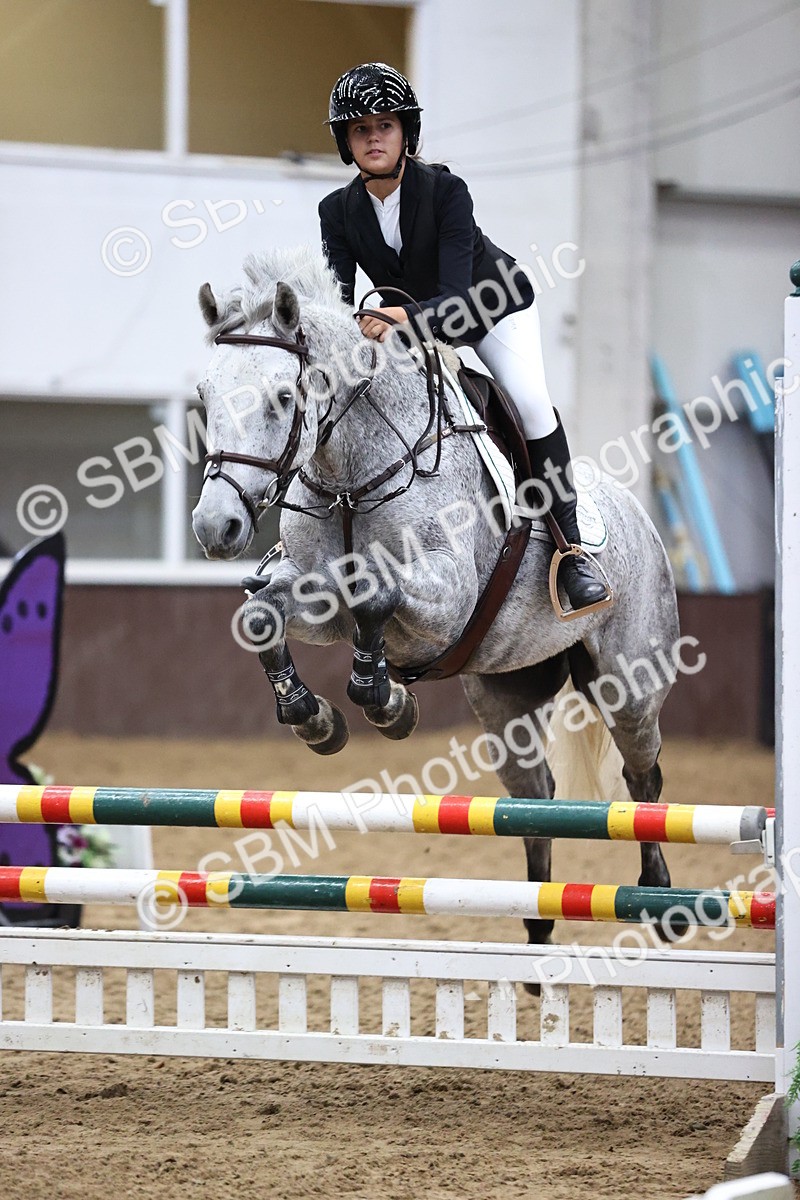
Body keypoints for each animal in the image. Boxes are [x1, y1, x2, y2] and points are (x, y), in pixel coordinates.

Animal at [191, 245, 680, 949]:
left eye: (284, 397)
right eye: (204, 396)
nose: (216, 526)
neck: (351, 475)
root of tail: (638, 514)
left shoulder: (447, 601)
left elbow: (372, 590)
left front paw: (383, 697)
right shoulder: (314, 597)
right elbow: (265, 612)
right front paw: (318, 717)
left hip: (629, 682)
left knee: (643, 777)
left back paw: (659, 896)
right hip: (505, 697)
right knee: (532, 797)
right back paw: (537, 925)